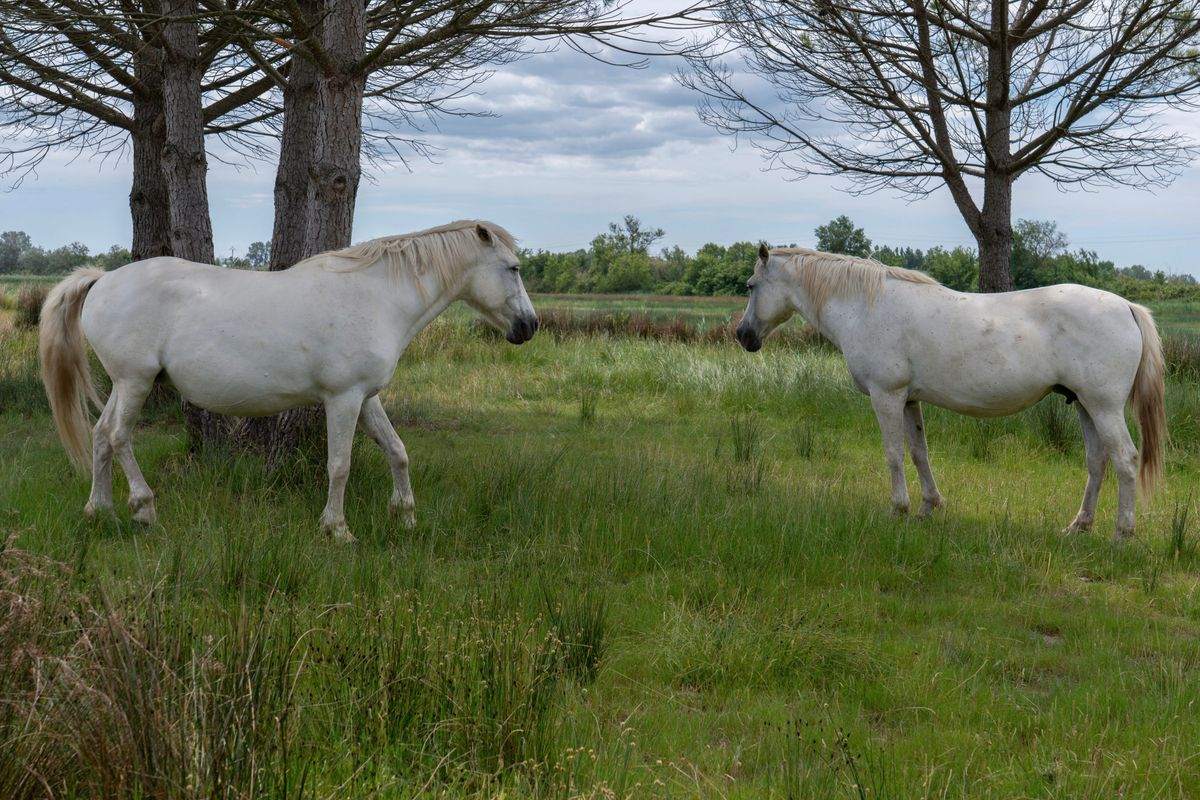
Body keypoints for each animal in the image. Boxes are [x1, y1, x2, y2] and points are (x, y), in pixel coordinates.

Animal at [39, 220, 538, 543]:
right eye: (513, 268)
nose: (529, 326)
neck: (376, 297)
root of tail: (103, 279)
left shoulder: (366, 397)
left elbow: (397, 451)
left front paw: (406, 517)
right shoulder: (343, 399)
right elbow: (340, 465)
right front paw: (338, 529)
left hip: (125, 384)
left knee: (100, 435)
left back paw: (98, 510)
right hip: (135, 381)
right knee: (119, 437)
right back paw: (144, 510)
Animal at [735, 244, 1165, 540]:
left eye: (751, 286)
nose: (743, 335)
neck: (866, 306)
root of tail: (1126, 306)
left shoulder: (886, 395)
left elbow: (893, 454)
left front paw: (898, 510)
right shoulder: (909, 399)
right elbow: (918, 453)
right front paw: (929, 506)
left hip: (1104, 407)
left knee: (1125, 459)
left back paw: (1122, 533)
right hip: (1084, 406)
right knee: (1097, 461)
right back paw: (1079, 526)